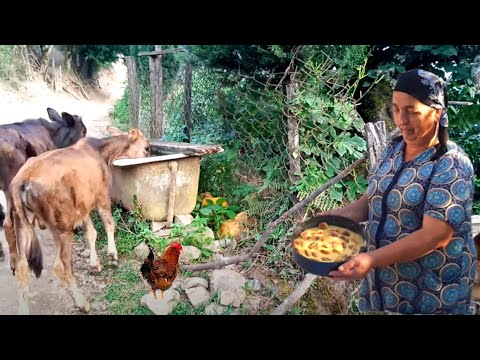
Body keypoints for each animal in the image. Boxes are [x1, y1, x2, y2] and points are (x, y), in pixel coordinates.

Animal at [3, 125, 149, 314]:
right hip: (62, 226)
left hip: (21, 222)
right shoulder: (102, 195)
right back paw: (82, 302)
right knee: (61, 266)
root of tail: (23, 180)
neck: (102, 152)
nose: (148, 154)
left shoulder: (83, 203)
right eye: (147, 148)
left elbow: (91, 233)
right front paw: (112, 256)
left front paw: (95, 265)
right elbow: (109, 225)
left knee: (22, 268)